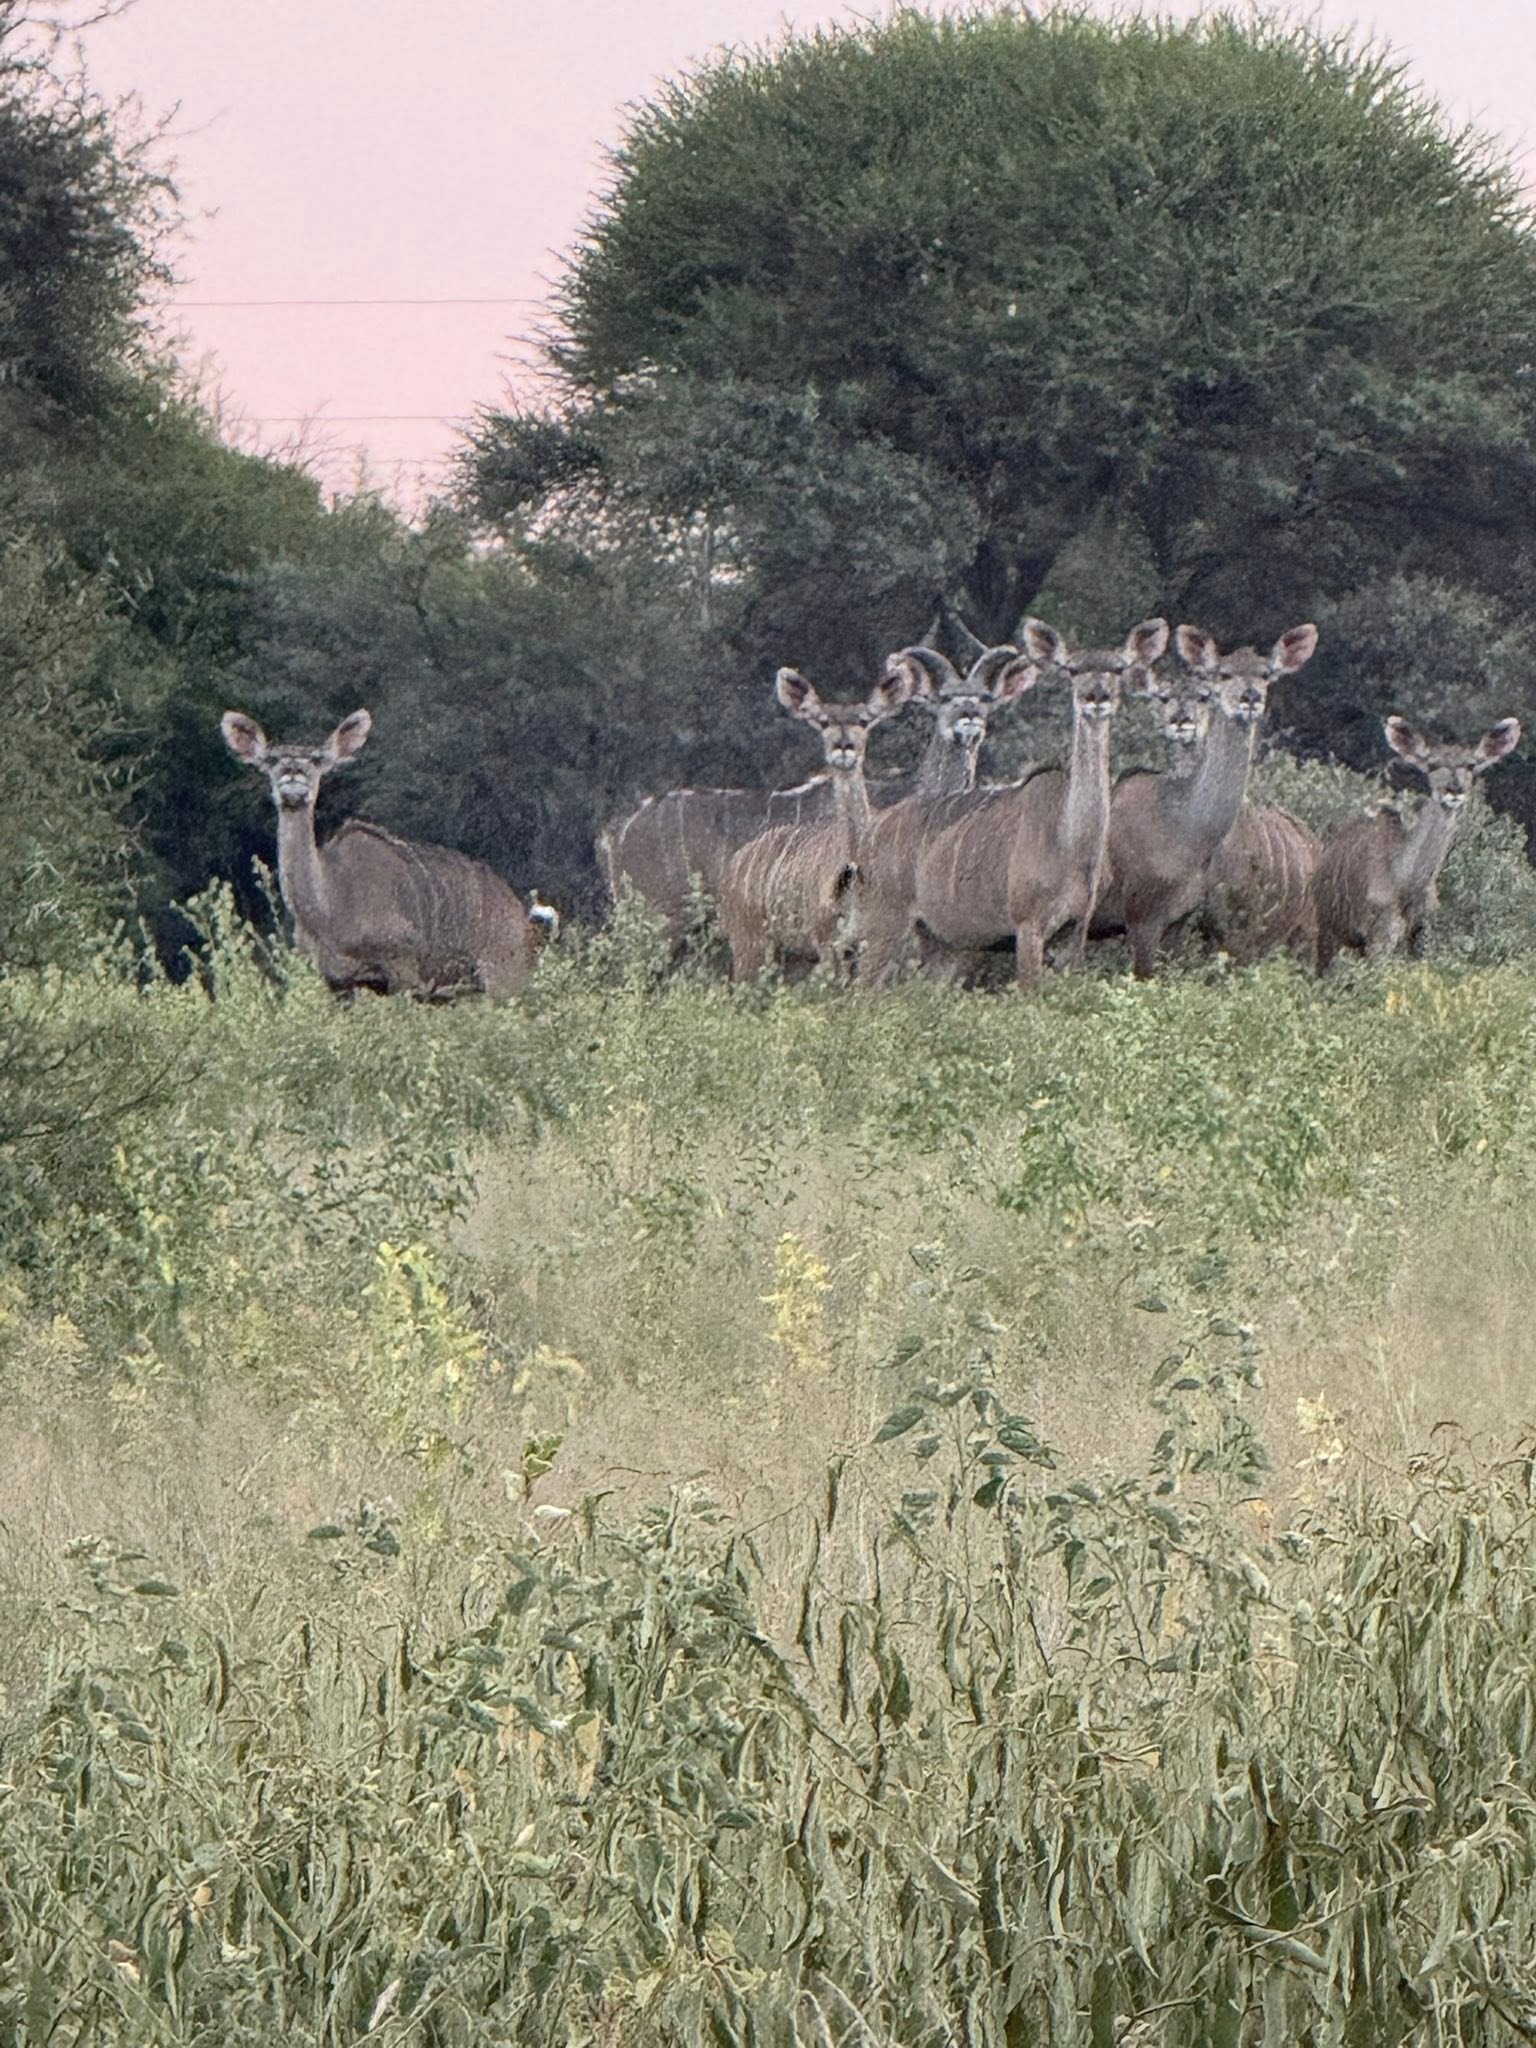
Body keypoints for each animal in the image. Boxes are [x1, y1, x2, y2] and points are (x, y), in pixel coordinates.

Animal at [220, 708, 541, 998]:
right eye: (271, 760)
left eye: (317, 759)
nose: (293, 776)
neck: (329, 907)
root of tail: (521, 919)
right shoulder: (338, 981)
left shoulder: (403, 971)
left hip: (501, 981)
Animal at [717, 664, 913, 981]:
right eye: (823, 722)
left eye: (864, 720)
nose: (843, 747)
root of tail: (732, 866)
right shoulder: (826, 940)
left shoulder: (878, 940)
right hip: (751, 943)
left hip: (790, 955)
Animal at [901, 618, 1169, 990]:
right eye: (1072, 669)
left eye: (1118, 668)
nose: (1095, 697)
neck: (1070, 843)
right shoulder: (1027, 925)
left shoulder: (1076, 930)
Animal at [1313, 716, 1521, 969]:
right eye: (1431, 764)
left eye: (1471, 765)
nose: (1454, 790)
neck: (1405, 879)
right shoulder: (1380, 935)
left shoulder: (1422, 933)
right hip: (1330, 933)